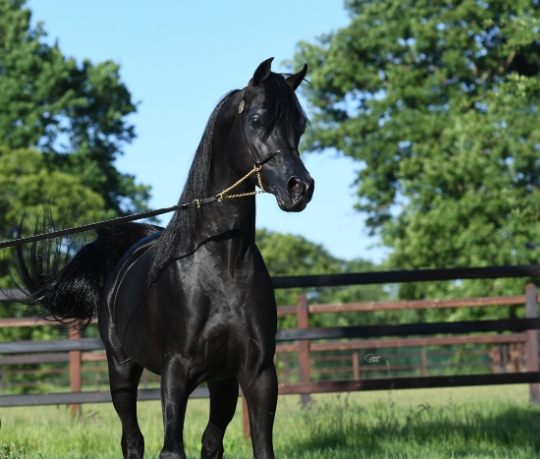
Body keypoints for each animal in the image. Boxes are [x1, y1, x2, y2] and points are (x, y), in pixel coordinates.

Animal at [15, 58, 312, 459]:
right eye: (256, 119)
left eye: (300, 125)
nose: (300, 188)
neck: (223, 268)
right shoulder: (176, 372)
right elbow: (171, 449)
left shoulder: (258, 374)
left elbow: (258, 447)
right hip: (121, 370)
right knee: (132, 439)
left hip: (221, 383)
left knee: (211, 442)